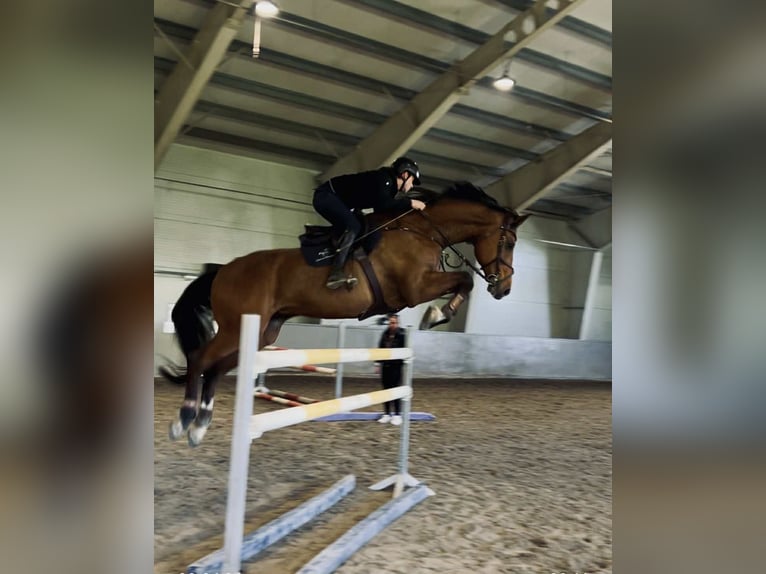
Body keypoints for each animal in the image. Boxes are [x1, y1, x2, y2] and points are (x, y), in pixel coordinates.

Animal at [163, 182, 529, 445]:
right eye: (509, 242)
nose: (504, 288)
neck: (422, 232)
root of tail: (223, 270)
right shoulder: (415, 288)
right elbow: (465, 279)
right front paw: (436, 314)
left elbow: (464, 282)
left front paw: (439, 314)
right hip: (235, 329)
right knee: (199, 359)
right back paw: (184, 420)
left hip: (262, 332)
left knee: (214, 369)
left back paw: (200, 426)